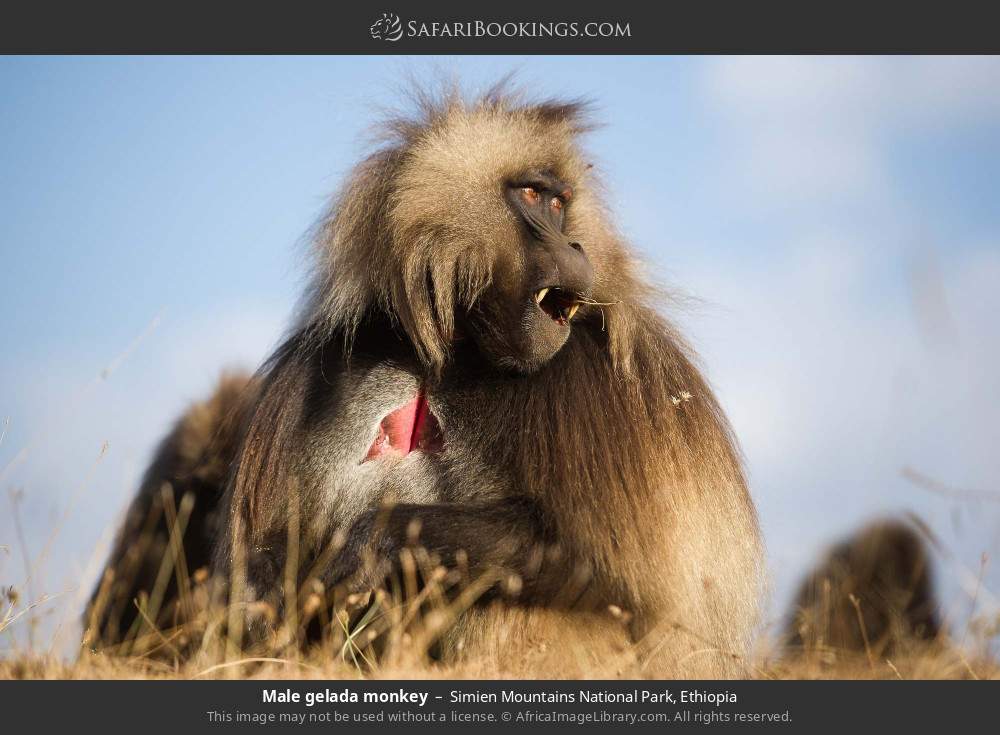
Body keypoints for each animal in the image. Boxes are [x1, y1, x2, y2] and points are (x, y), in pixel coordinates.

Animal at [87, 84, 764, 677]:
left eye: (559, 202)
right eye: (532, 195)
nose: (574, 245)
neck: (454, 346)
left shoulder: (590, 380)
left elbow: (600, 561)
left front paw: (368, 544)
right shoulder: (319, 365)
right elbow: (258, 569)